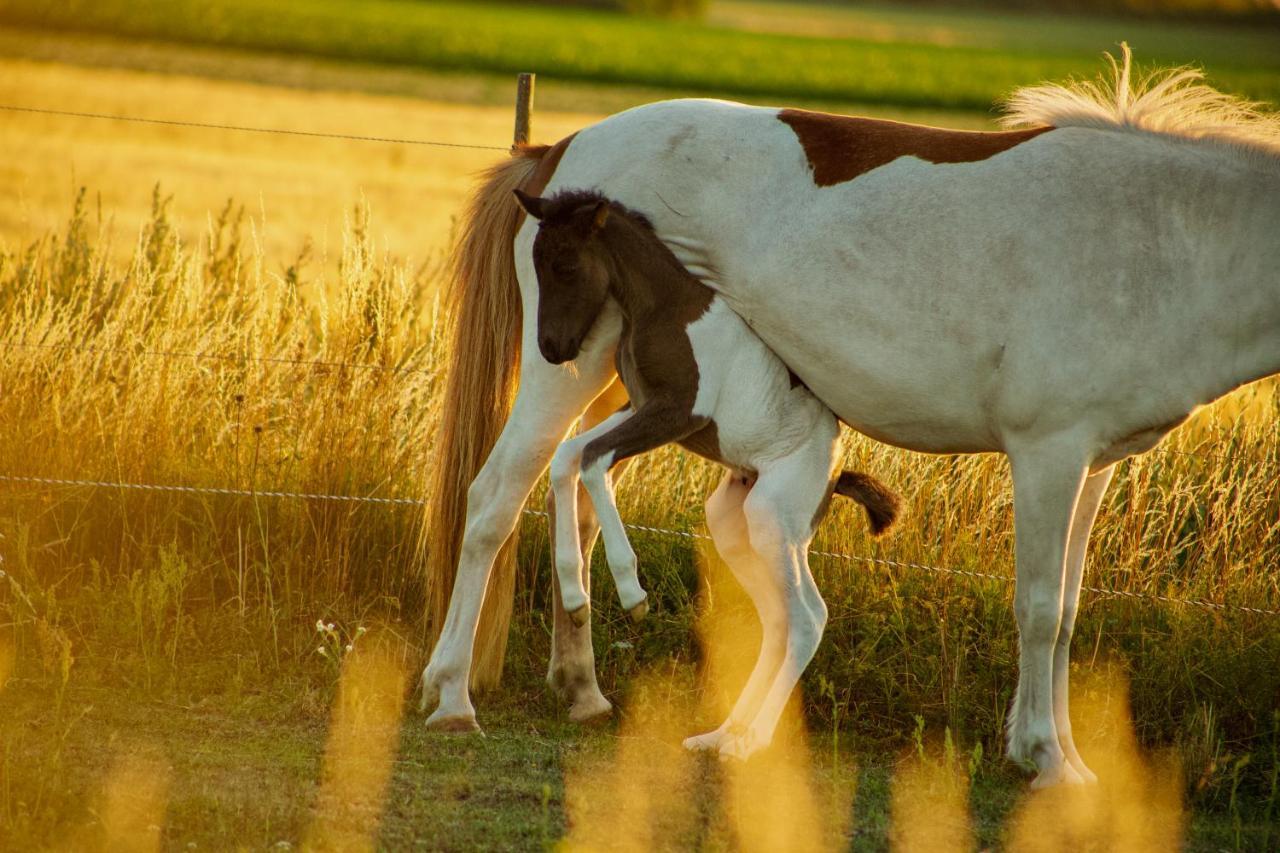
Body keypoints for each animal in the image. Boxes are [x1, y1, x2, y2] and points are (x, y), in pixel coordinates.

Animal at [422, 51, 1280, 783]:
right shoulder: (1047, 452)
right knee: (496, 499)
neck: (1154, 233)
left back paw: (583, 689)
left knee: (573, 490)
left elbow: (1068, 610)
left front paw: (1066, 761)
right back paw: (453, 694)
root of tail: (560, 146)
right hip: (568, 369)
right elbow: (1038, 610)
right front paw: (1040, 755)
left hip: (610, 385)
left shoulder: (1094, 461)